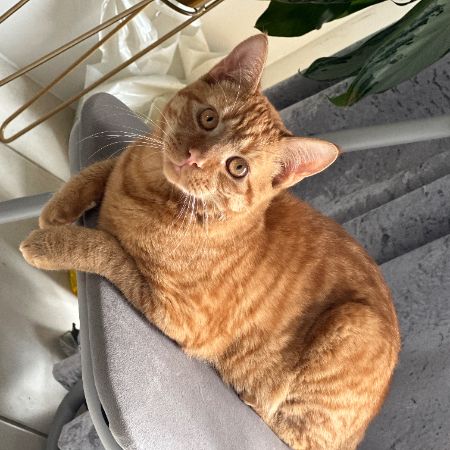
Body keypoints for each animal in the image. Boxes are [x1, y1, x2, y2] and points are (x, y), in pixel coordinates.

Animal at [21, 34, 400, 450]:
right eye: (208, 118)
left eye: (238, 167)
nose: (193, 158)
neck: (151, 191)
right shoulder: (130, 159)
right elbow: (103, 169)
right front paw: (59, 207)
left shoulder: (178, 314)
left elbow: (105, 248)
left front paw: (50, 244)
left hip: (353, 322)